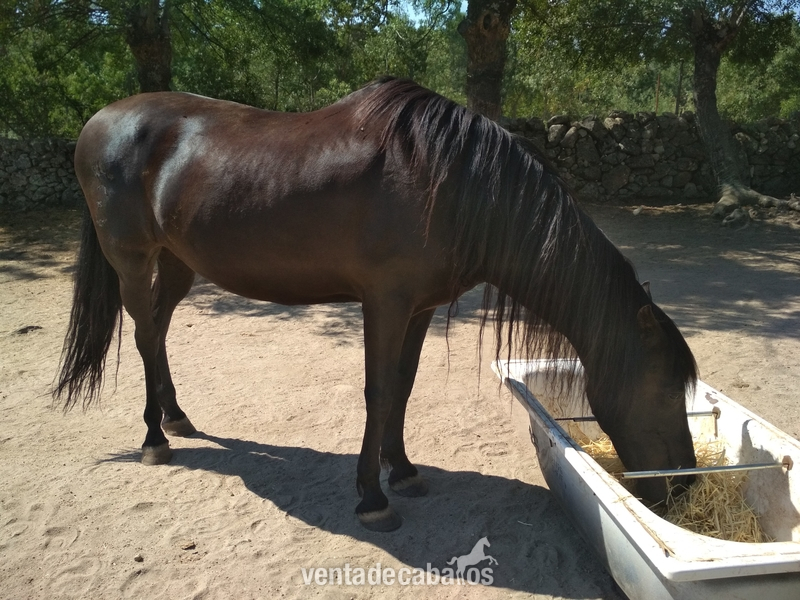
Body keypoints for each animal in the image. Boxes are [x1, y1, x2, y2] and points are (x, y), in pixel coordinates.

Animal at [54, 77, 698, 532]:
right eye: (668, 390)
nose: (685, 486)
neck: (453, 185)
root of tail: (101, 121)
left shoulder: (419, 307)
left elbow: (404, 386)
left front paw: (404, 470)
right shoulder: (384, 303)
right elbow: (380, 391)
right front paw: (372, 496)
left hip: (179, 261)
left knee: (159, 331)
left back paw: (176, 417)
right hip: (132, 259)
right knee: (143, 334)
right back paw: (154, 440)